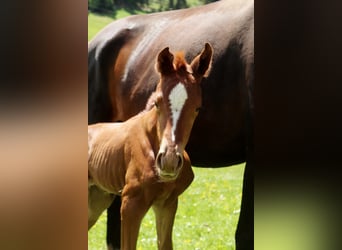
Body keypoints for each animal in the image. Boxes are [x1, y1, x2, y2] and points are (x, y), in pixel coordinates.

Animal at [87, 43, 211, 250]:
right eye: (157, 103)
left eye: (197, 108)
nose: (169, 161)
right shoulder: (130, 204)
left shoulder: (167, 204)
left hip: (97, 199)